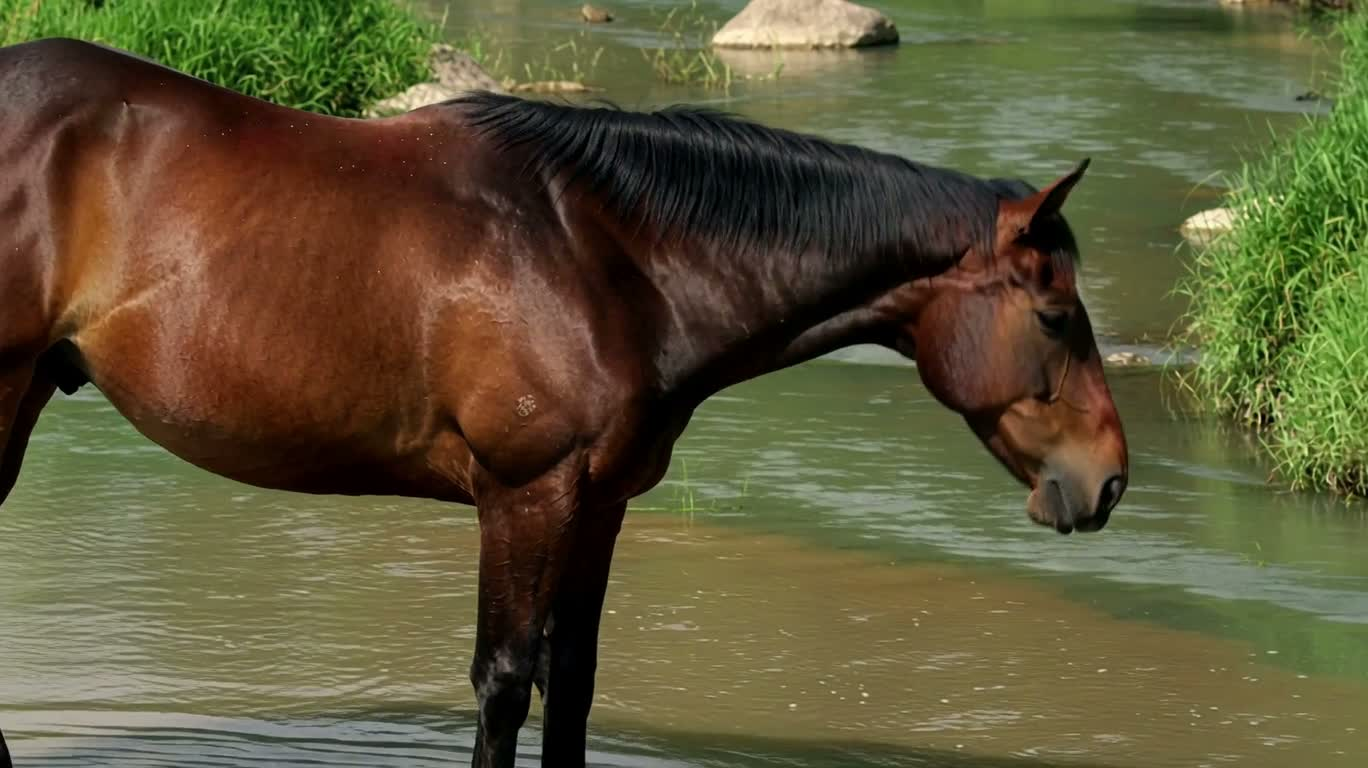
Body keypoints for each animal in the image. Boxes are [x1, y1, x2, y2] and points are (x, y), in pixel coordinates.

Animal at [0, 38, 1128, 768]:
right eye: (1057, 316)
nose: (1109, 480)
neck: (604, 253)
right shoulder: (525, 495)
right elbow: (505, 682)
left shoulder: (599, 503)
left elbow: (571, 682)